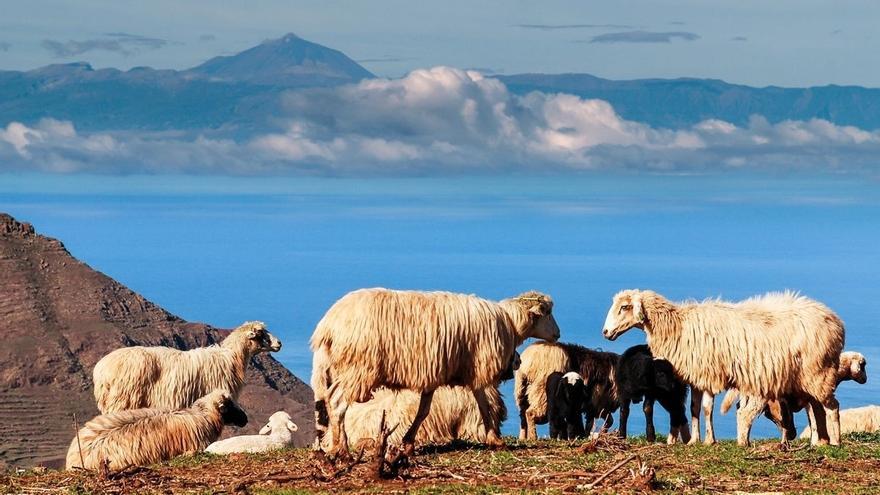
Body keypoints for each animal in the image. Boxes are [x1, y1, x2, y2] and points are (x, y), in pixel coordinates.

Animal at [310, 288, 556, 460]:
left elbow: (423, 412)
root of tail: (328, 325)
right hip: (357, 368)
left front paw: (408, 443)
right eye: (547, 313)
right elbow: (483, 405)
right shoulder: (477, 367)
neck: (509, 322)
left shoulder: (433, 375)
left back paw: (335, 446)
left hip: (341, 368)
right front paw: (495, 439)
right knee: (337, 403)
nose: (558, 334)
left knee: (329, 401)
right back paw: (341, 449)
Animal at [604, 288, 844, 448]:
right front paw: (694, 440)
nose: (605, 332)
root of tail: (835, 321)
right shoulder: (697, 375)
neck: (677, 326)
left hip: (818, 371)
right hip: (808, 376)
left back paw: (835, 442)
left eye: (624, 307)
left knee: (832, 406)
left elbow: (707, 408)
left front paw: (709, 440)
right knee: (816, 407)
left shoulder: (709, 373)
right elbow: (694, 408)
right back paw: (819, 441)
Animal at [720, 352, 868, 442]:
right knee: (746, 414)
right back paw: (745, 443)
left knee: (740, 409)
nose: (865, 379)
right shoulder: (812, 400)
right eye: (863, 365)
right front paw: (818, 441)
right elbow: (815, 420)